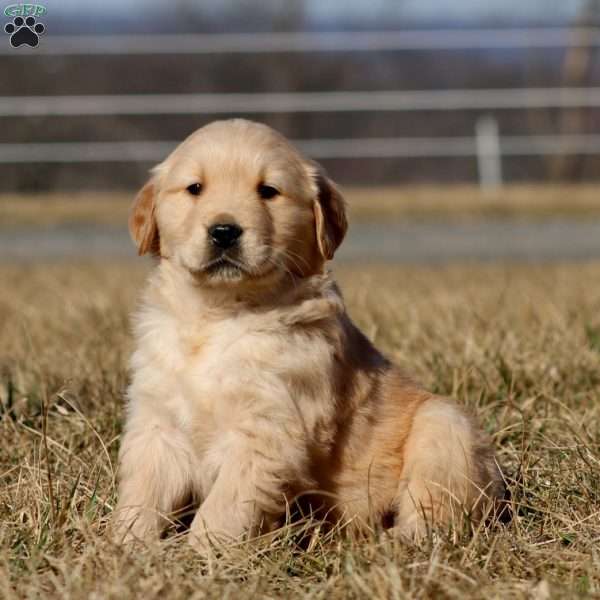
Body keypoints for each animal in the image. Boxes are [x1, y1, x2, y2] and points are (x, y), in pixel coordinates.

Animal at [111, 119, 502, 552]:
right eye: (195, 188)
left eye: (268, 191)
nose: (224, 231)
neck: (219, 315)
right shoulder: (157, 423)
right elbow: (143, 493)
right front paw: (124, 548)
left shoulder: (268, 431)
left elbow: (223, 509)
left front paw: (200, 556)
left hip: (446, 428)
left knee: (436, 511)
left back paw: (392, 542)